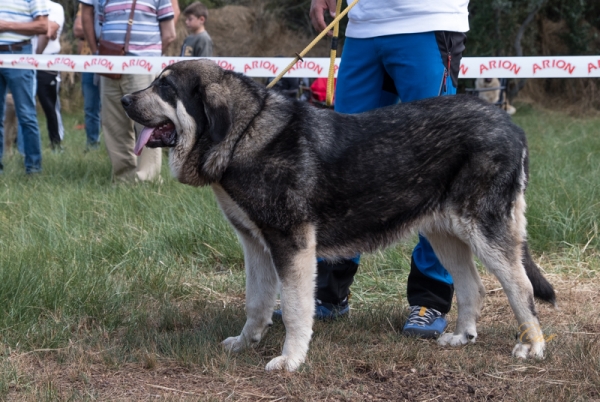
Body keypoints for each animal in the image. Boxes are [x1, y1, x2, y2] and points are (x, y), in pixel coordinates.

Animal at [119, 59, 556, 370]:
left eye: (165, 87)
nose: (124, 101)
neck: (244, 134)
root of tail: (511, 125)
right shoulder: (255, 246)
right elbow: (256, 303)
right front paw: (246, 342)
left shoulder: (292, 245)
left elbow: (296, 309)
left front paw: (291, 359)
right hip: (444, 233)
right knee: (472, 287)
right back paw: (462, 337)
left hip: (484, 231)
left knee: (520, 286)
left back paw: (532, 346)